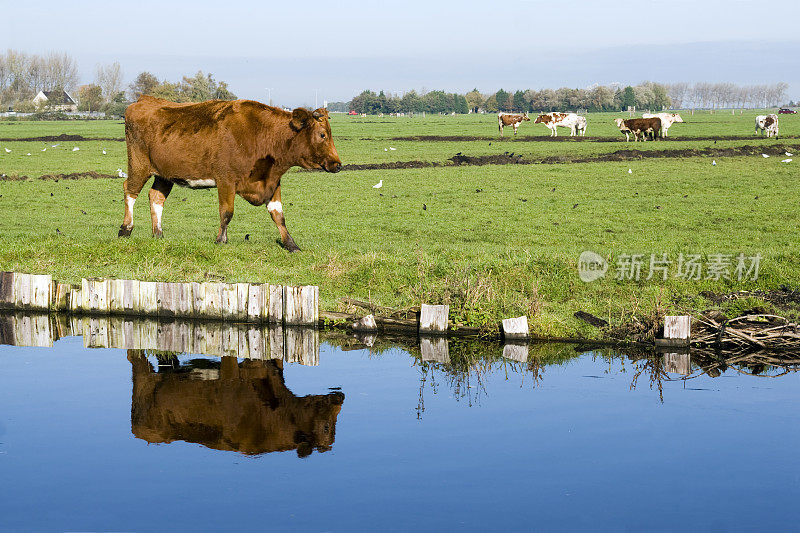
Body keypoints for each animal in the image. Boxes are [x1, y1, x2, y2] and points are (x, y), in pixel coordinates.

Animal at [119, 95, 340, 251]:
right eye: (322, 135)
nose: (337, 164)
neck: (263, 134)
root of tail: (144, 100)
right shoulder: (226, 180)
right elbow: (226, 212)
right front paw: (221, 240)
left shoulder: (272, 181)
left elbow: (279, 216)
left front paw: (291, 244)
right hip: (139, 165)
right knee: (130, 191)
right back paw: (125, 229)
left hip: (165, 174)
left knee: (156, 196)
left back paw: (158, 233)